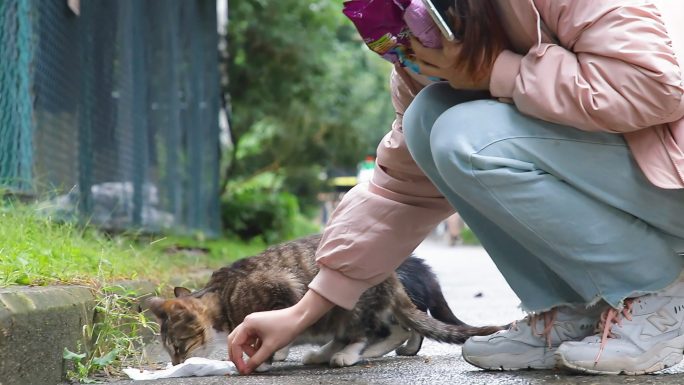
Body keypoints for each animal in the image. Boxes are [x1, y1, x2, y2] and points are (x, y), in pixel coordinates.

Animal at [148, 232, 502, 368]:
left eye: (177, 347)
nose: (176, 365)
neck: (221, 297)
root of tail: (392, 278)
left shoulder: (281, 292)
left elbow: (275, 332)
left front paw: (263, 356)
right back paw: (321, 353)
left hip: (352, 303)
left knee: (371, 332)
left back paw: (347, 354)